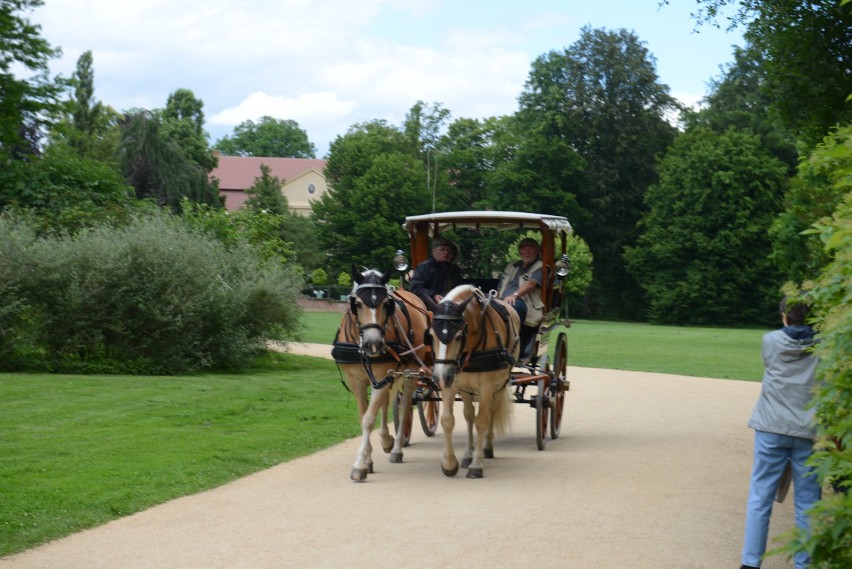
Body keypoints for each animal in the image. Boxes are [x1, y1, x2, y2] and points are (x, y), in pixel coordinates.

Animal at [330, 266, 430, 480]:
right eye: (357, 304)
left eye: (386, 304)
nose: (373, 344)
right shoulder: (357, 381)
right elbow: (364, 416)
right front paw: (368, 460)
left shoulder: (384, 375)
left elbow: (368, 419)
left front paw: (360, 464)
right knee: (387, 403)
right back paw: (386, 440)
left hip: (411, 371)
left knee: (405, 405)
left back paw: (396, 448)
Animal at [424, 286, 520, 478]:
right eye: (431, 335)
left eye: (459, 336)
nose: (440, 377)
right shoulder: (451, 382)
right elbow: (448, 420)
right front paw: (449, 463)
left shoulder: (487, 386)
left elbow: (481, 421)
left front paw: (477, 464)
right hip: (465, 388)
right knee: (469, 415)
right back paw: (468, 454)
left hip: (499, 384)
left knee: (491, 411)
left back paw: (486, 448)